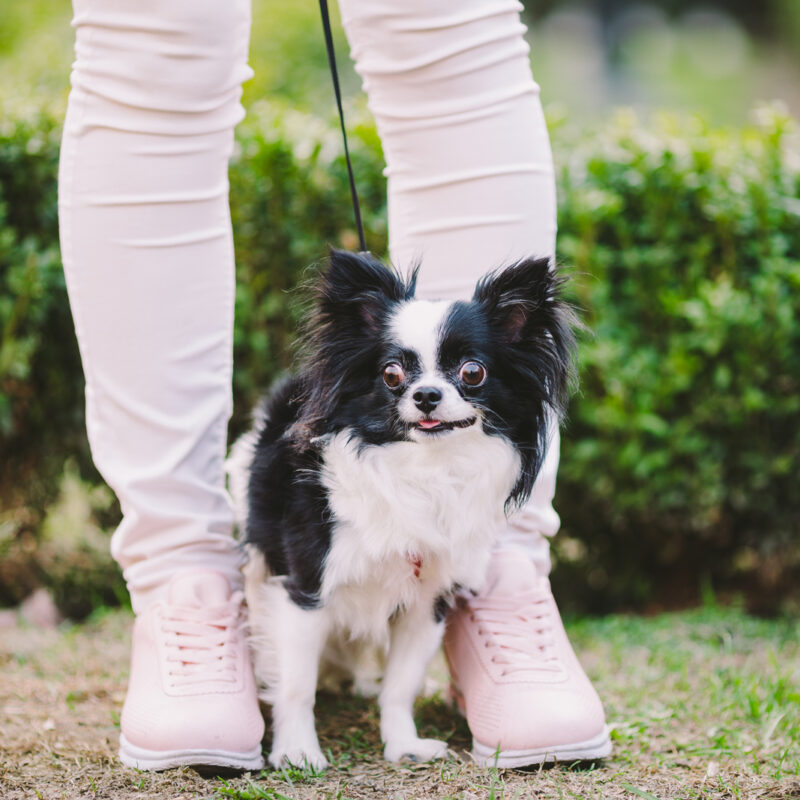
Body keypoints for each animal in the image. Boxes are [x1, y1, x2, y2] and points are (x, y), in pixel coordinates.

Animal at [228, 248, 572, 768]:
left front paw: (403, 743)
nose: (426, 394)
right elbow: (296, 684)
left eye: (473, 372)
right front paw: (297, 750)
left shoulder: (429, 601)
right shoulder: (306, 588)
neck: (424, 470)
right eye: (392, 374)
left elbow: (401, 684)